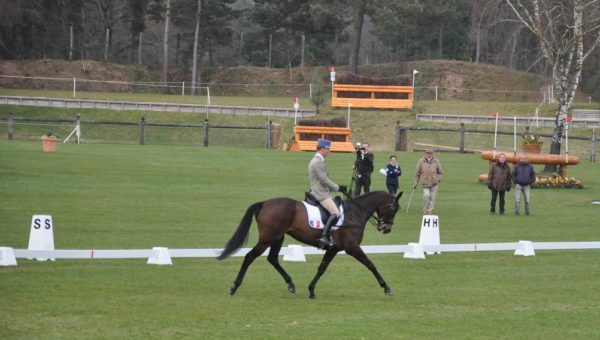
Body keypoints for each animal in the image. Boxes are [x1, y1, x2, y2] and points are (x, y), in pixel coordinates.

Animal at [217, 190, 404, 298]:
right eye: (393, 208)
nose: (386, 228)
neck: (355, 213)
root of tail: (265, 203)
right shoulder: (351, 247)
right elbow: (370, 264)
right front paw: (386, 287)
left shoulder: (334, 248)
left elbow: (322, 268)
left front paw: (311, 290)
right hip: (267, 239)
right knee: (250, 257)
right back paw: (234, 287)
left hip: (278, 238)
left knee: (273, 259)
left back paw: (291, 285)